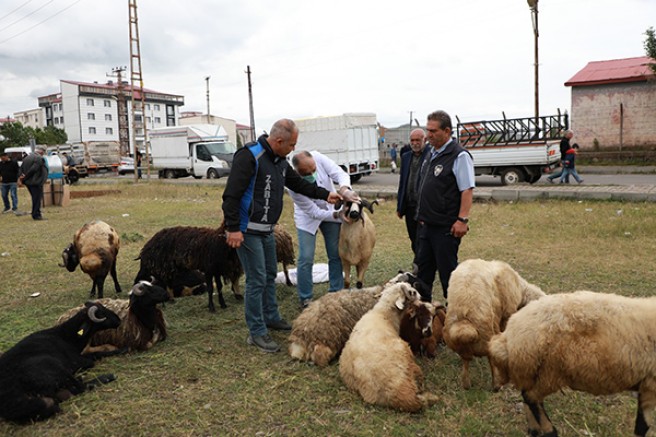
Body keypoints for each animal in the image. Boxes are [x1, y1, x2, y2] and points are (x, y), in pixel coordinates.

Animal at [444, 255, 544, 388]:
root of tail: (464, 324)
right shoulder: (508, 312)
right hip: (487, 337)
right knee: (491, 360)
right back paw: (496, 384)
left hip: (460, 345)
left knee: (465, 361)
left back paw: (466, 384)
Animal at [486, 290, 656, 436]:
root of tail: (509, 335)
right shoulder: (650, 385)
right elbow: (643, 426)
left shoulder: (646, 384)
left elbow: (641, 425)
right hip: (550, 372)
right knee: (531, 397)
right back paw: (549, 431)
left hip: (531, 372)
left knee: (528, 397)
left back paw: (534, 430)